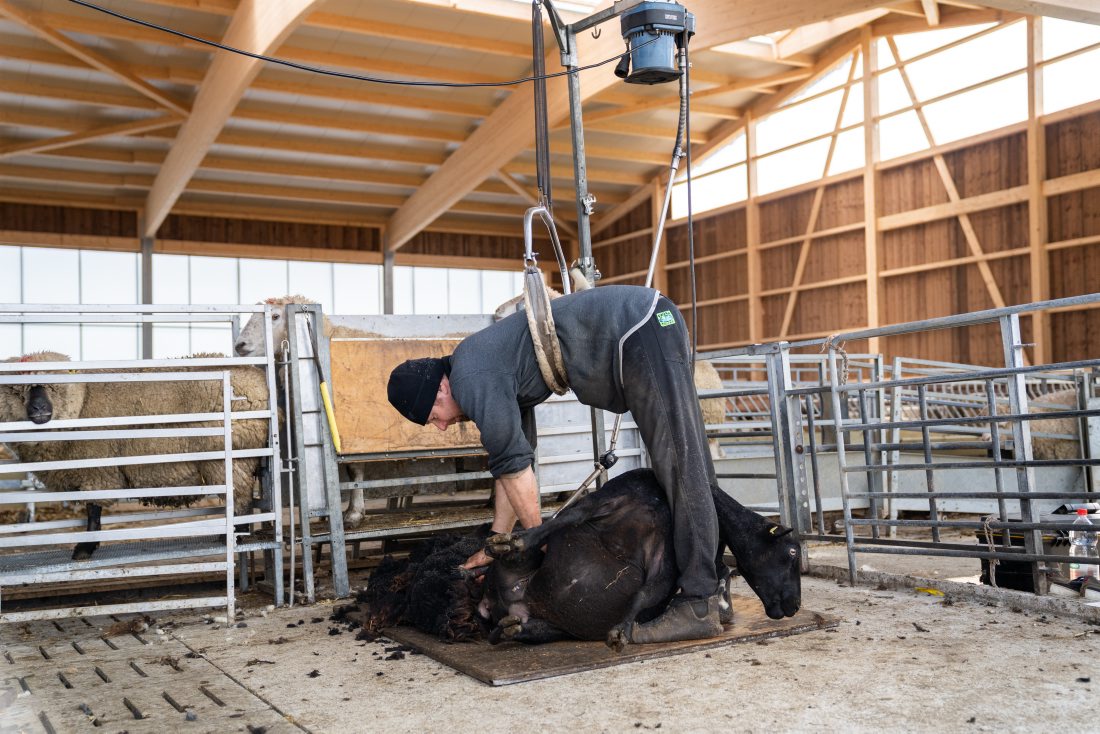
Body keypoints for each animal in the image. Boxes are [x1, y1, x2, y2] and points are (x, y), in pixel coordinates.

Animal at [0, 352, 270, 559]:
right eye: (16, 392)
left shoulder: (97, 470)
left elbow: (93, 510)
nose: (39, 408)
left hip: (228, 460)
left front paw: (85, 548)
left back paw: (232, 535)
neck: (82, 403)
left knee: (240, 498)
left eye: (52, 387)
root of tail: (257, 380)